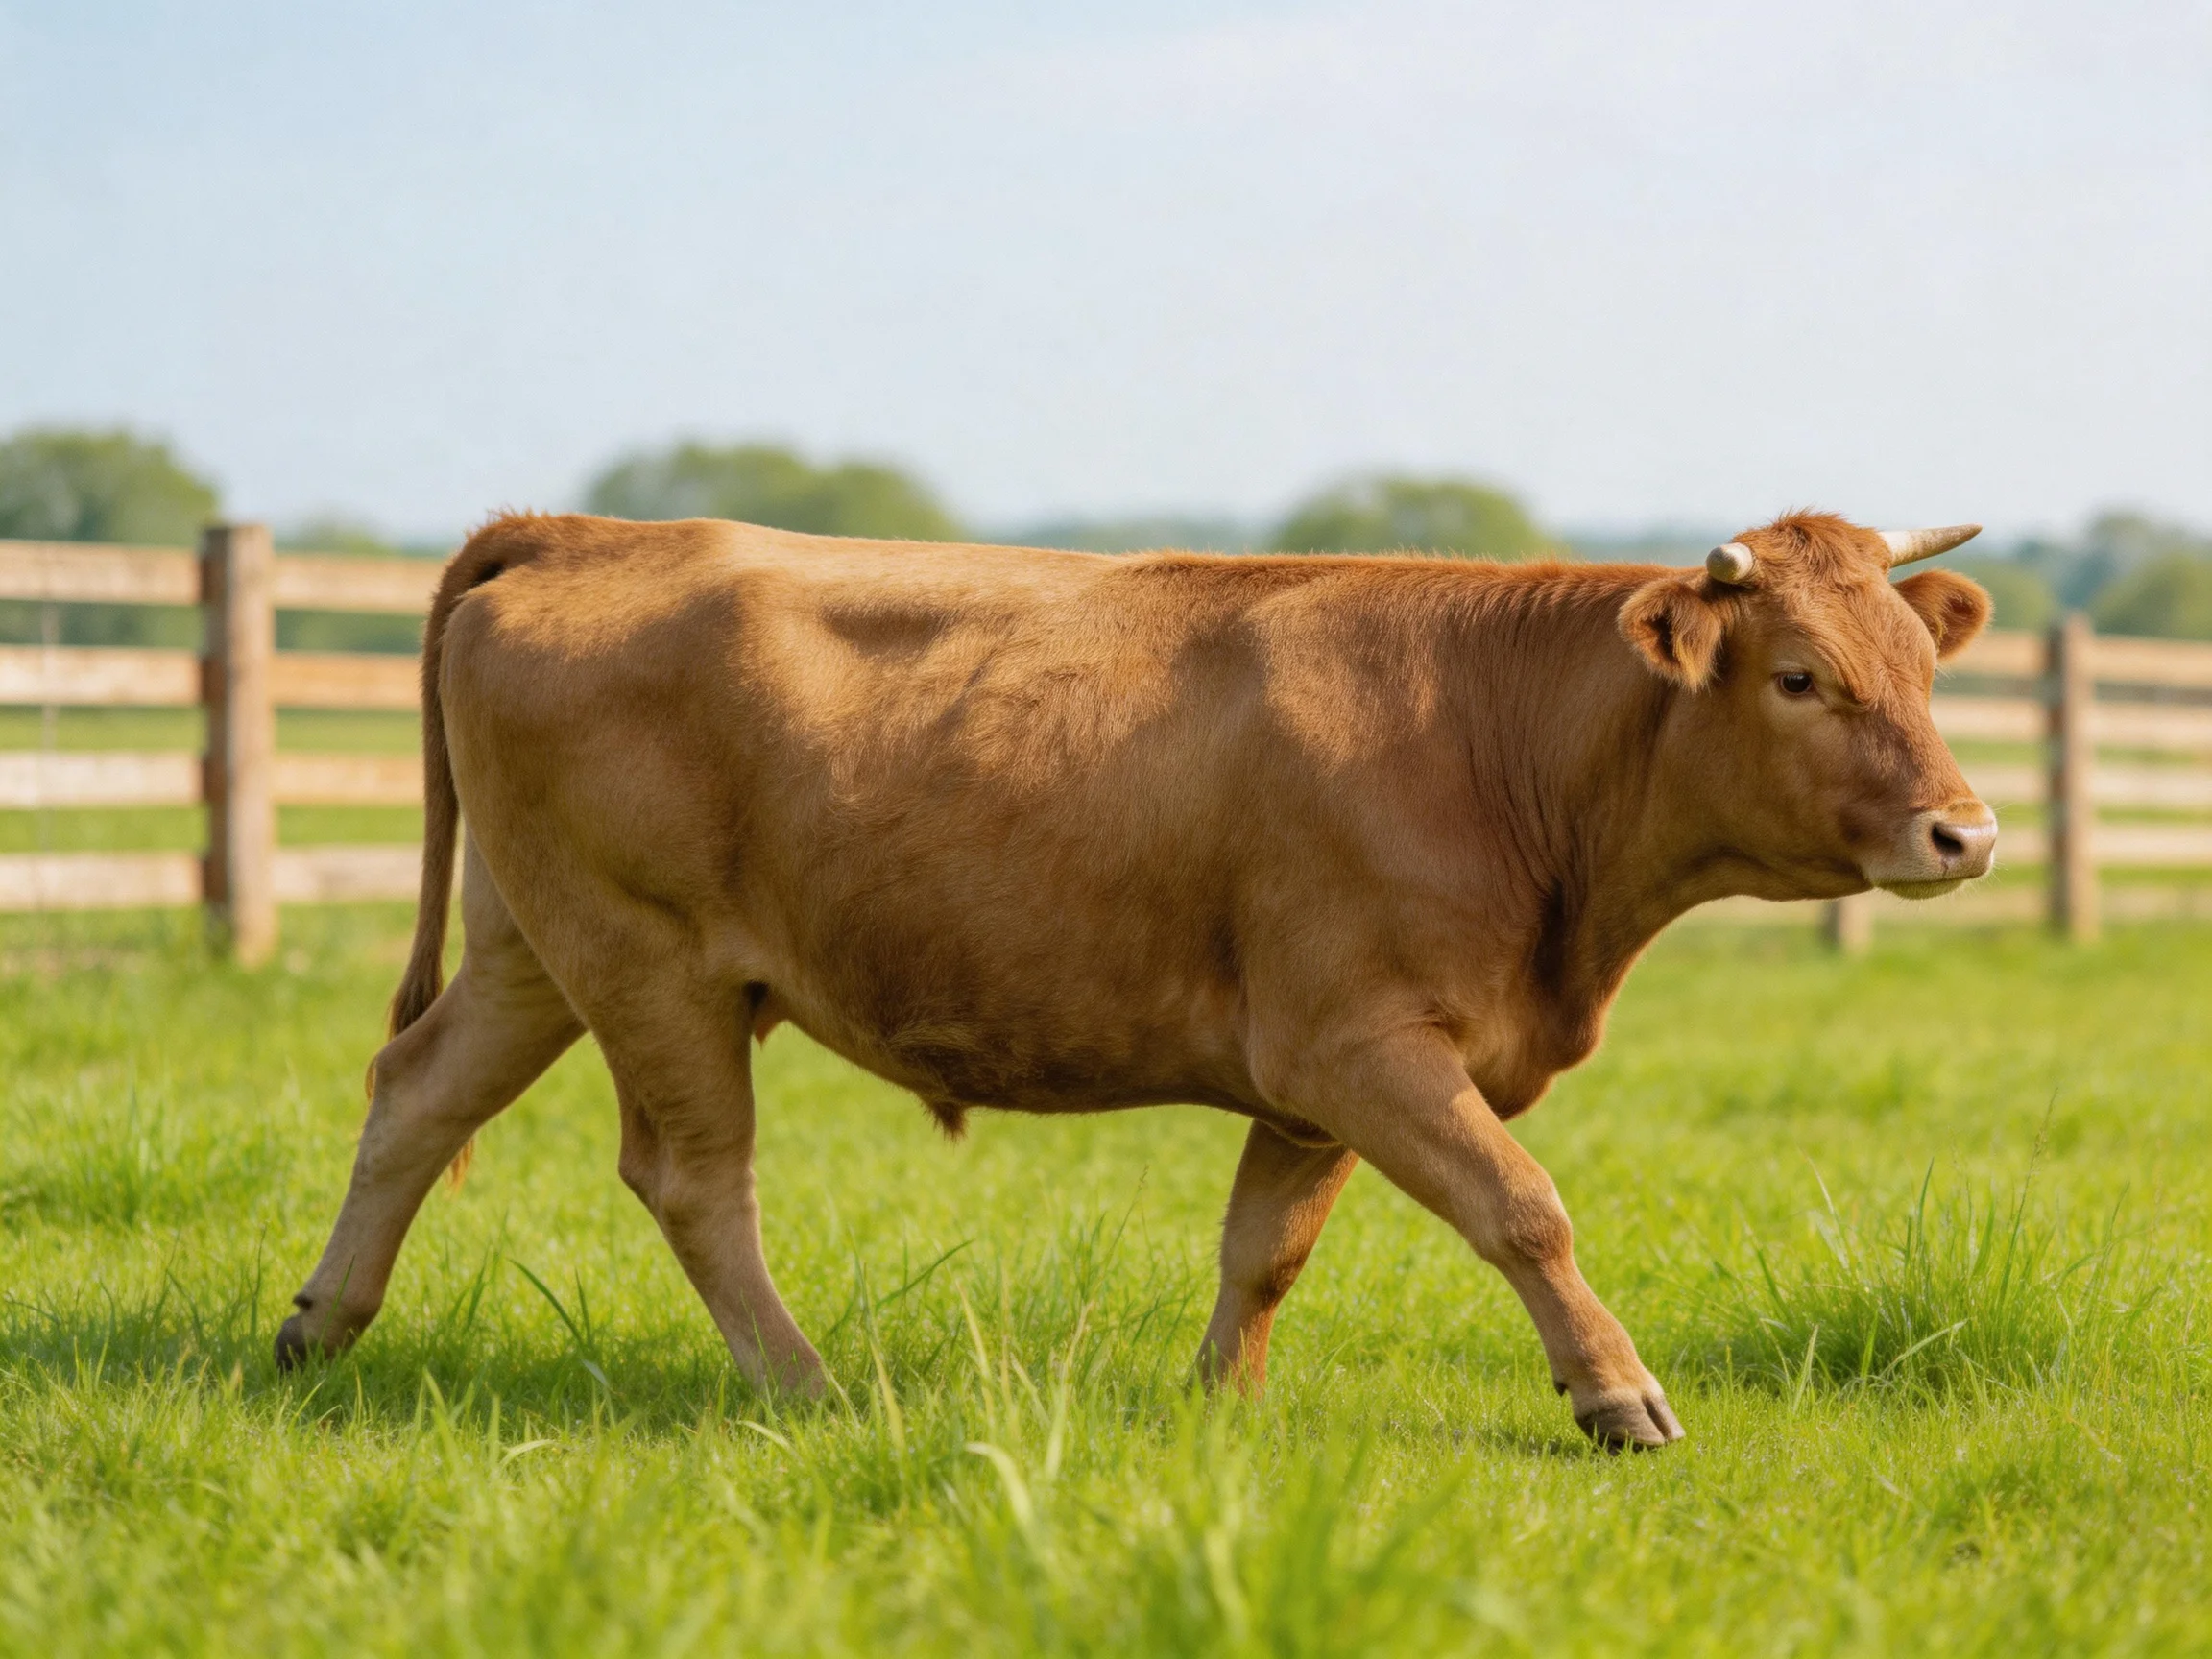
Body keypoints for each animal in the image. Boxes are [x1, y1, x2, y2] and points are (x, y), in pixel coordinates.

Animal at [275, 509, 1995, 1448]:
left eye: (1923, 671)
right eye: (1800, 677)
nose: (1966, 832)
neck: (1495, 738)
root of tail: (590, 533)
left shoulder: (1312, 1081)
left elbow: (1265, 1251)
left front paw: (1218, 1409)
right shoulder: (1364, 1045)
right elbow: (1524, 1206)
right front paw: (1614, 1395)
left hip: (532, 949)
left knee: (415, 1095)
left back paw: (318, 1328)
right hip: (647, 960)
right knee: (692, 1179)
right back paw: (805, 1384)